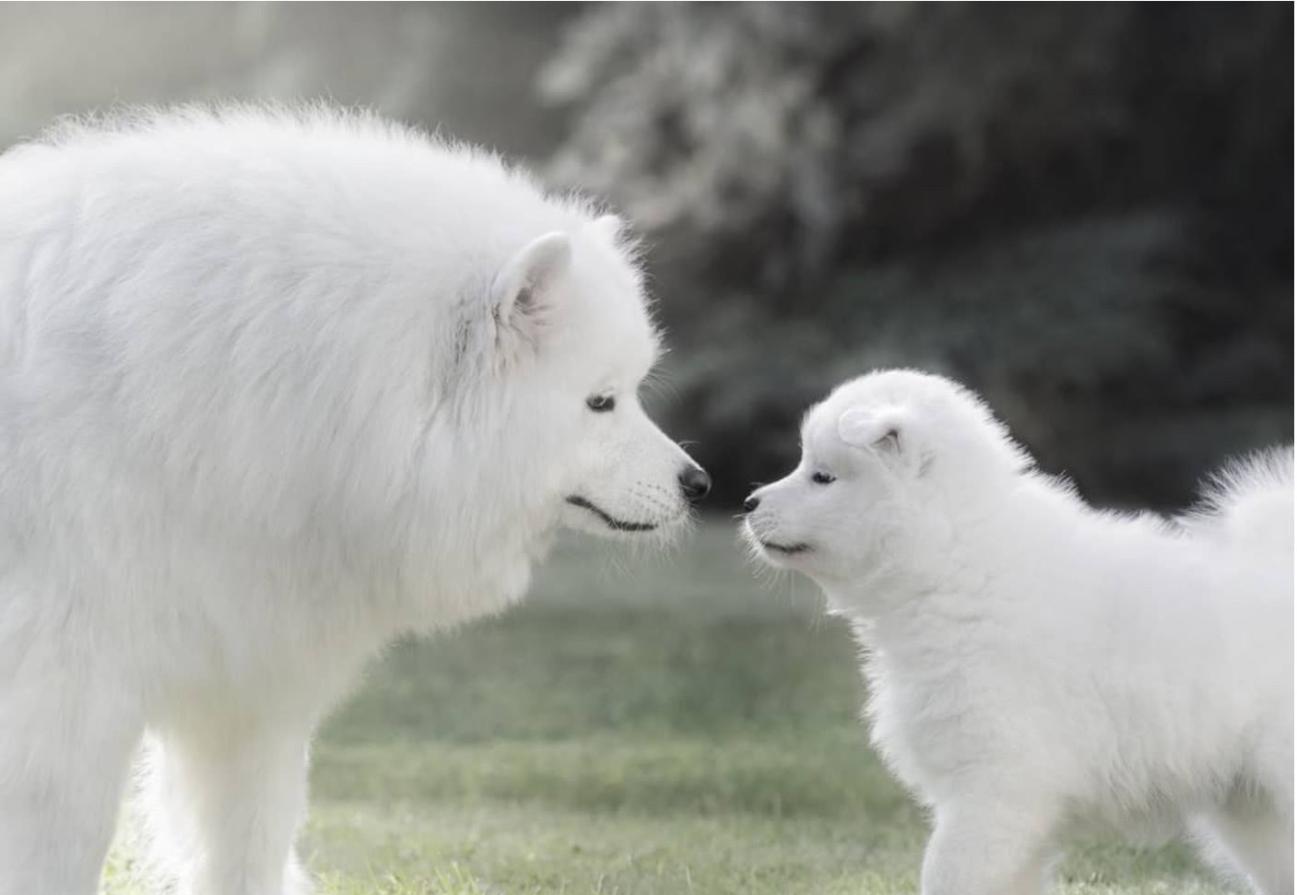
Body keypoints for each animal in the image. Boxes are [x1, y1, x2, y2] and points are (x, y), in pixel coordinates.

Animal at [0, 106, 710, 892]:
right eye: (599, 402)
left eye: (631, 392)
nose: (698, 484)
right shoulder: (62, 699)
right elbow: (57, 851)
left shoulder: (244, 689)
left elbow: (248, 844)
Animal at [747, 368, 1291, 892]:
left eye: (822, 476)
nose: (749, 502)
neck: (954, 560)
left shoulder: (996, 786)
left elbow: (946, 873)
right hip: (1252, 808)